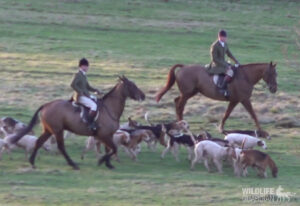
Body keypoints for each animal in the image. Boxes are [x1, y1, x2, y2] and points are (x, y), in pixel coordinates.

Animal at [12, 75, 146, 169]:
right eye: (131, 85)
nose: (143, 96)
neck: (109, 108)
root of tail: (46, 105)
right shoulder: (103, 135)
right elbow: (113, 149)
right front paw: (101, 161)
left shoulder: (108, 135)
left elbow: (109, 149)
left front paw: (108, 164)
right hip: (58, 130)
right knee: (61, 146)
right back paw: (73, 164)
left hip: (48, 130)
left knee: (39, 142)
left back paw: (32, 162)